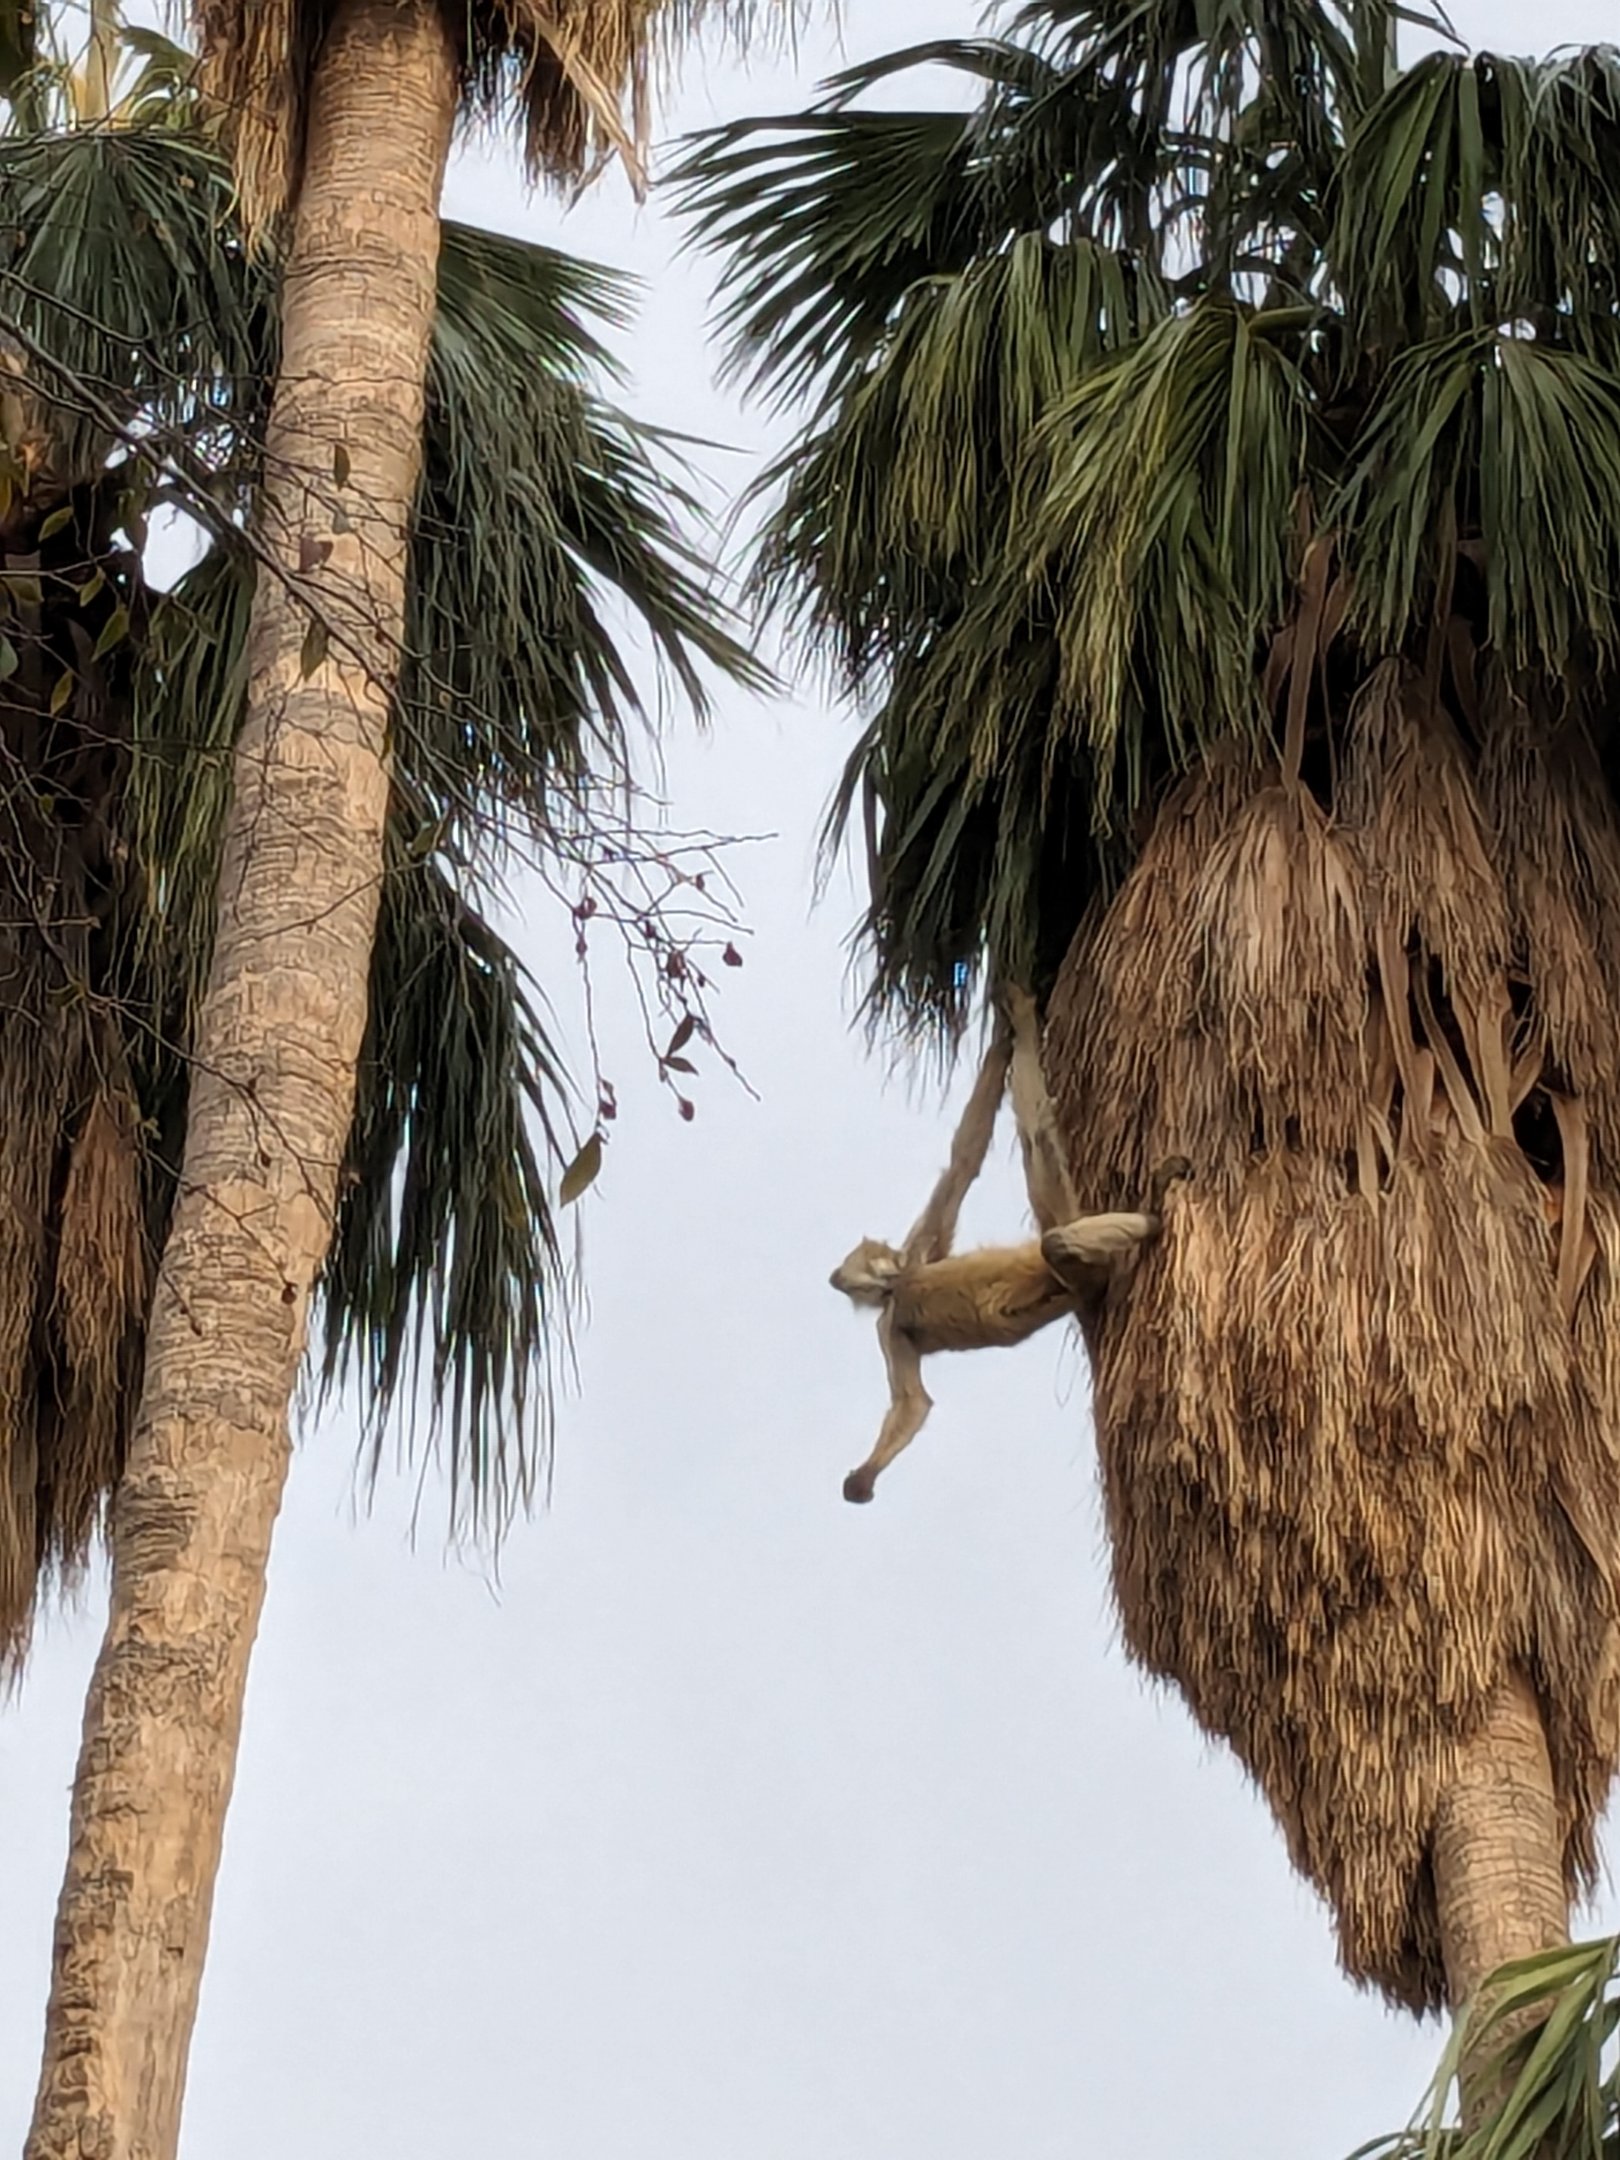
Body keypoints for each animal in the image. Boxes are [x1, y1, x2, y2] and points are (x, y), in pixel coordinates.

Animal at [831, 984, 1190, 1503]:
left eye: (845, 1280)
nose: (836, 1280)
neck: (902, 1285)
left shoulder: (903, 1288)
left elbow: (963, 1160)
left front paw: (860, 1481)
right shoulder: (906, 1287)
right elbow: (913, 1404)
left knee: (1049, 1201)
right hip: (1069, 1231)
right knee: (1045, 1175)